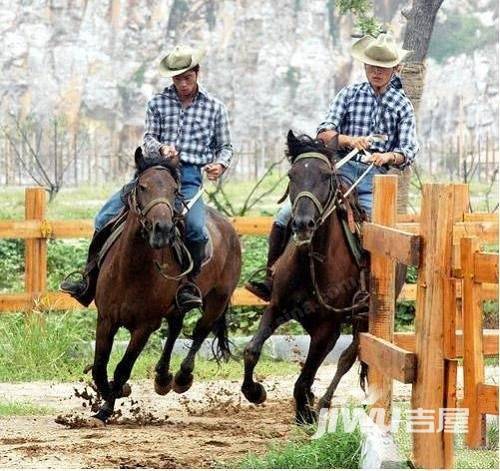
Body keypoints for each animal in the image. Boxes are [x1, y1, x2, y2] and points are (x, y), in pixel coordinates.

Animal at [93, 148, 243, 424]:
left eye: (175, 190)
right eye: (142, 186)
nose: (162, 229)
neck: (131, 269)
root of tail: (227, 226)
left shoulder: (144, 327)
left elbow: (122, 369)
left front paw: (110, 402)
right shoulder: (106, 319)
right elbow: (99, 367)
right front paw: (107, 400)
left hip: (217, 300)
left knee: (199, 332)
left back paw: (182, 377)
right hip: (176, 306)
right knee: (175, 329)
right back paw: (163, 378)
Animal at [240, 131, 374, 426]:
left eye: (326, 175)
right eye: (292, 174)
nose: (303, 224)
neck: (312, 263)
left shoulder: (328, 328)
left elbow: (306, 376)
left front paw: (305, 412)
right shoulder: (276, 307)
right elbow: (252, 350)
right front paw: (255, 391)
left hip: (364, 318)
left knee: (348, 357)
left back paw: (323, 401)